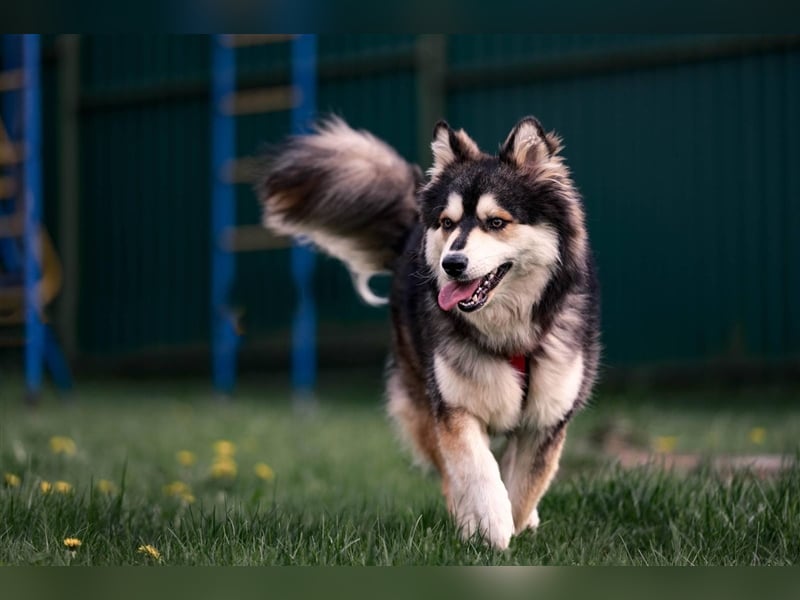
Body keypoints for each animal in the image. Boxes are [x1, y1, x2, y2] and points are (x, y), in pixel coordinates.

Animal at [258, 115, 600, 552]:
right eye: (448, 223)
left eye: (496, 222)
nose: (451, 264)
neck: (510, 333)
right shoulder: (454, 408)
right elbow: (477, 470)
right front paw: (490, 524)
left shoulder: (546, 418)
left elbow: (525, 486)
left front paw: (516, 524)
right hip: (419, 398)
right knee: (450, 474)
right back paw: (467, 522)